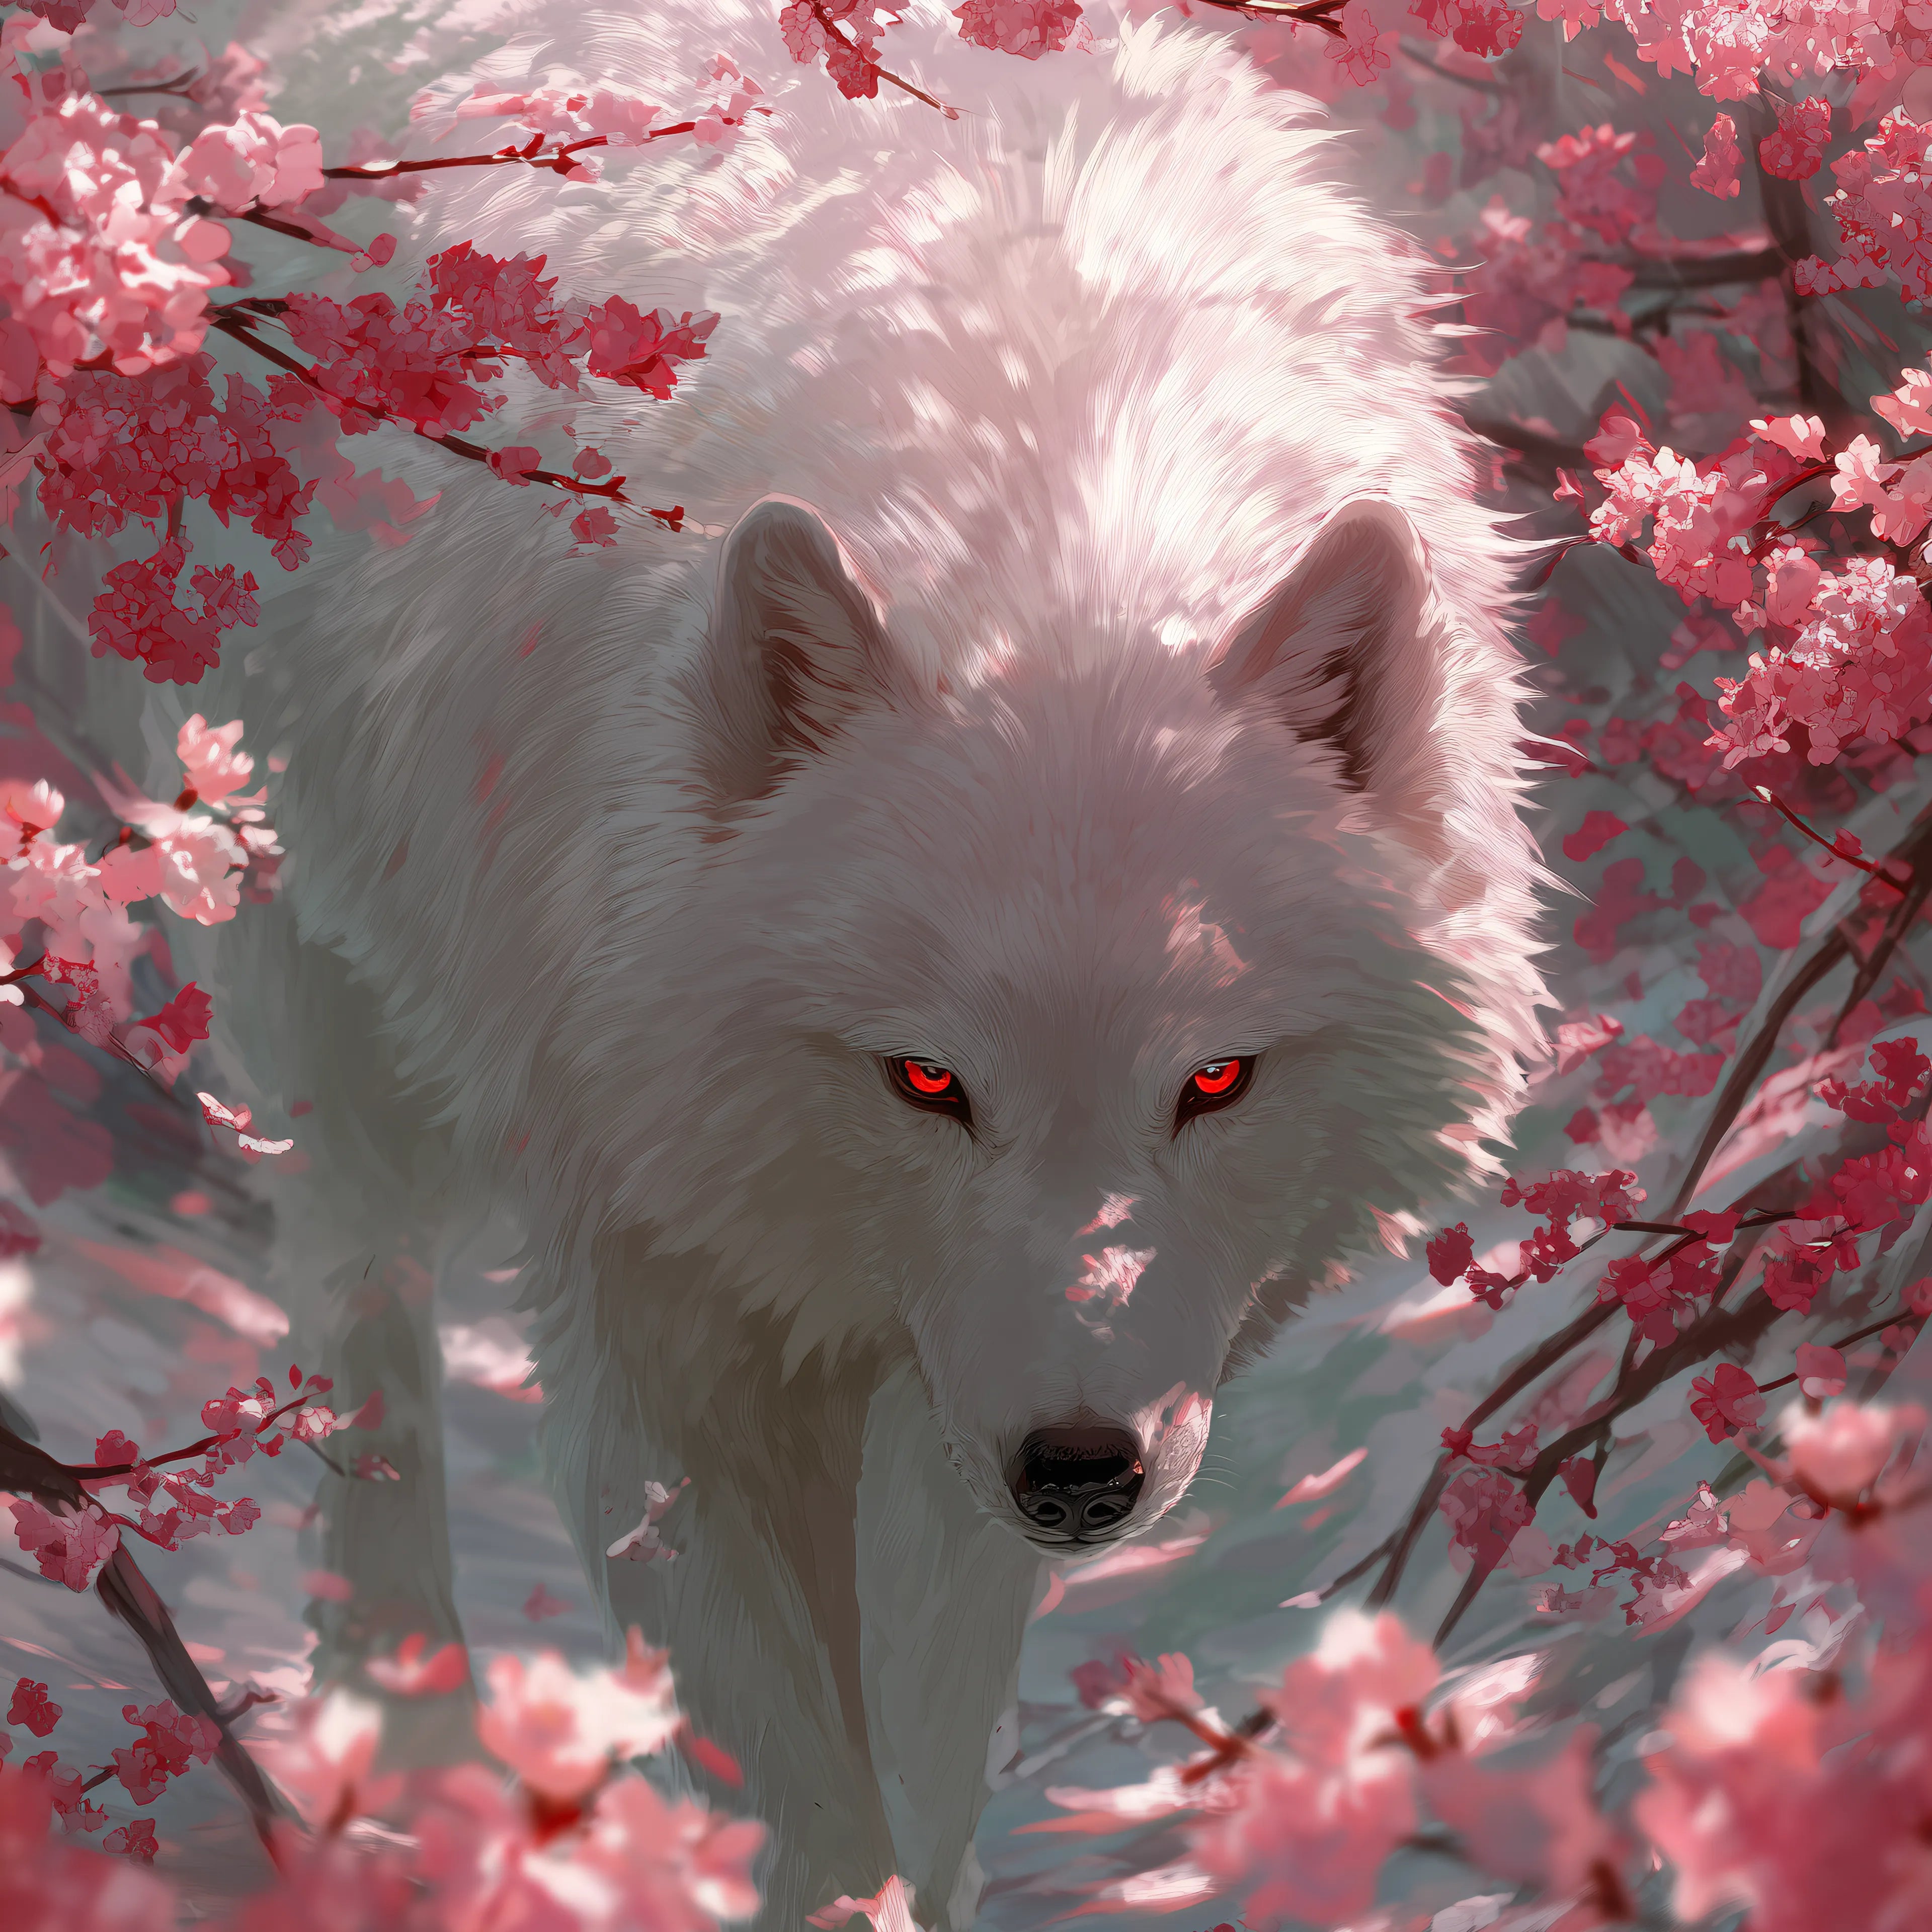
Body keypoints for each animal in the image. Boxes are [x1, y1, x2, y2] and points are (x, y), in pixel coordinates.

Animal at [171, 0, 1544, 1920]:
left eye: (1212, 1079)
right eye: (925, 1077)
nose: (1081, 1476)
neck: (1057, 539)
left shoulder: (960, 1383)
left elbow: (930, 1740)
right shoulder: (661, 1298)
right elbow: (796, 1789)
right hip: (324, 957)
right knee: (355, 1298)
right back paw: (402, 1744)